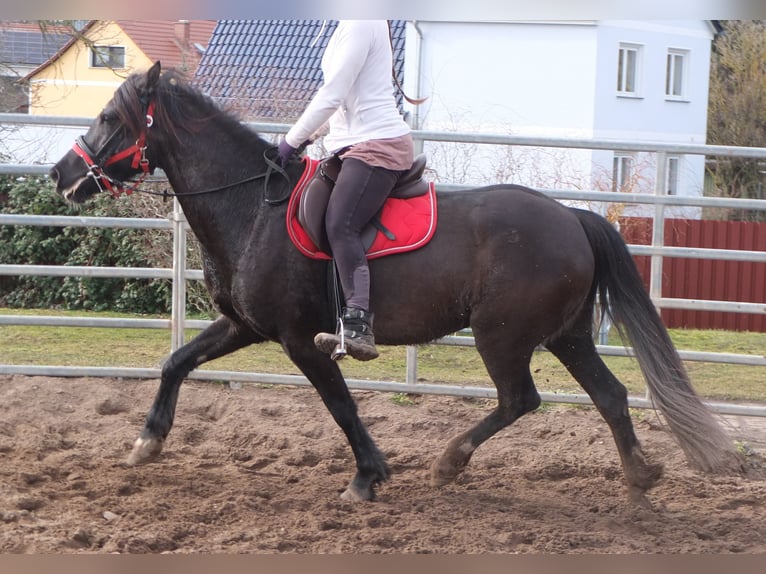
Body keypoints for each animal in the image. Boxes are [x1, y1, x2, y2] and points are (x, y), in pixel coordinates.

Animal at [48, 60, 744, 506]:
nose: (61, 174)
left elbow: (341, 405)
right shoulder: (245, 326)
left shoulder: (300, 340)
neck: (252, 207)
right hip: (565, 335)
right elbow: (177, 361)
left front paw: (367, 476)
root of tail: (572, 216)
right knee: (611, 395)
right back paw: (640, 481)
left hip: (502, 336)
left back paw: (451, 462)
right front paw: (147, 441)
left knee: (521, 400)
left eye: (109, 116)